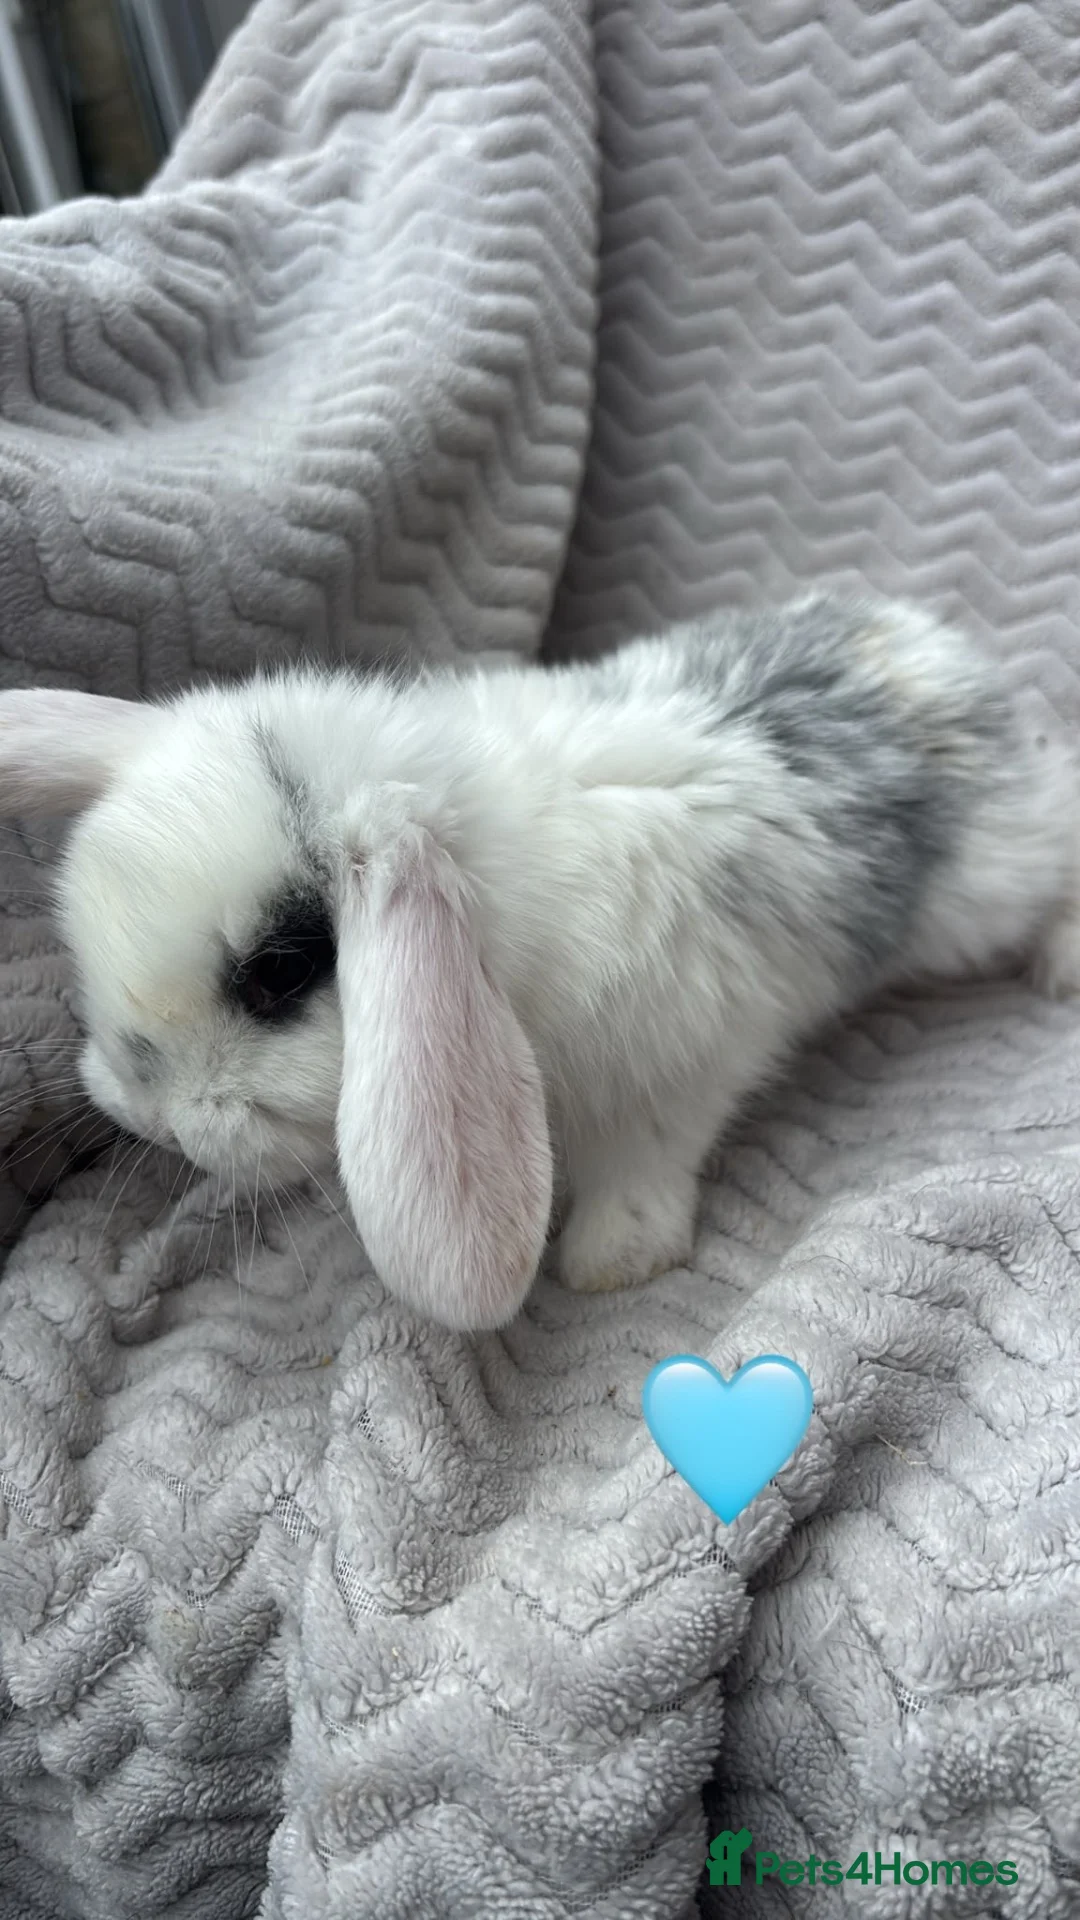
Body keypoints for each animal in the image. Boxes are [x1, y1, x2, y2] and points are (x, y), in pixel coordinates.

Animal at [1, 592, 1078, 1334]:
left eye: (279, 972)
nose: (143, 1111)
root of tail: (932, 644)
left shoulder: (683, 1061)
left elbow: (646, 1160)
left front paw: (612, 1259)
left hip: (998, 874)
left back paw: (1063, 964)